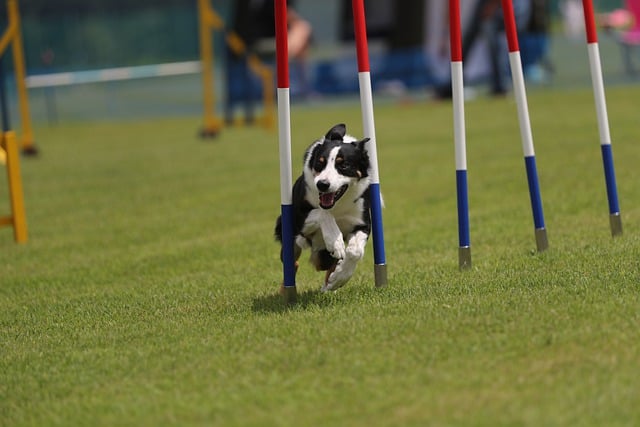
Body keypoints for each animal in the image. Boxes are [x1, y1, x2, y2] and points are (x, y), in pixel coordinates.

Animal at [276, 123, 376, 290]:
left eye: (344, 165)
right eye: (319, 163)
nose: (322, 184)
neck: (337, 205)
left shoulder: (362, 223)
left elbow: (355, 252)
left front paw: (339, 278)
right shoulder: (298, 217)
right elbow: (323, 213)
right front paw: (335, 243)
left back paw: (330, 283)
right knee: (292, 259)